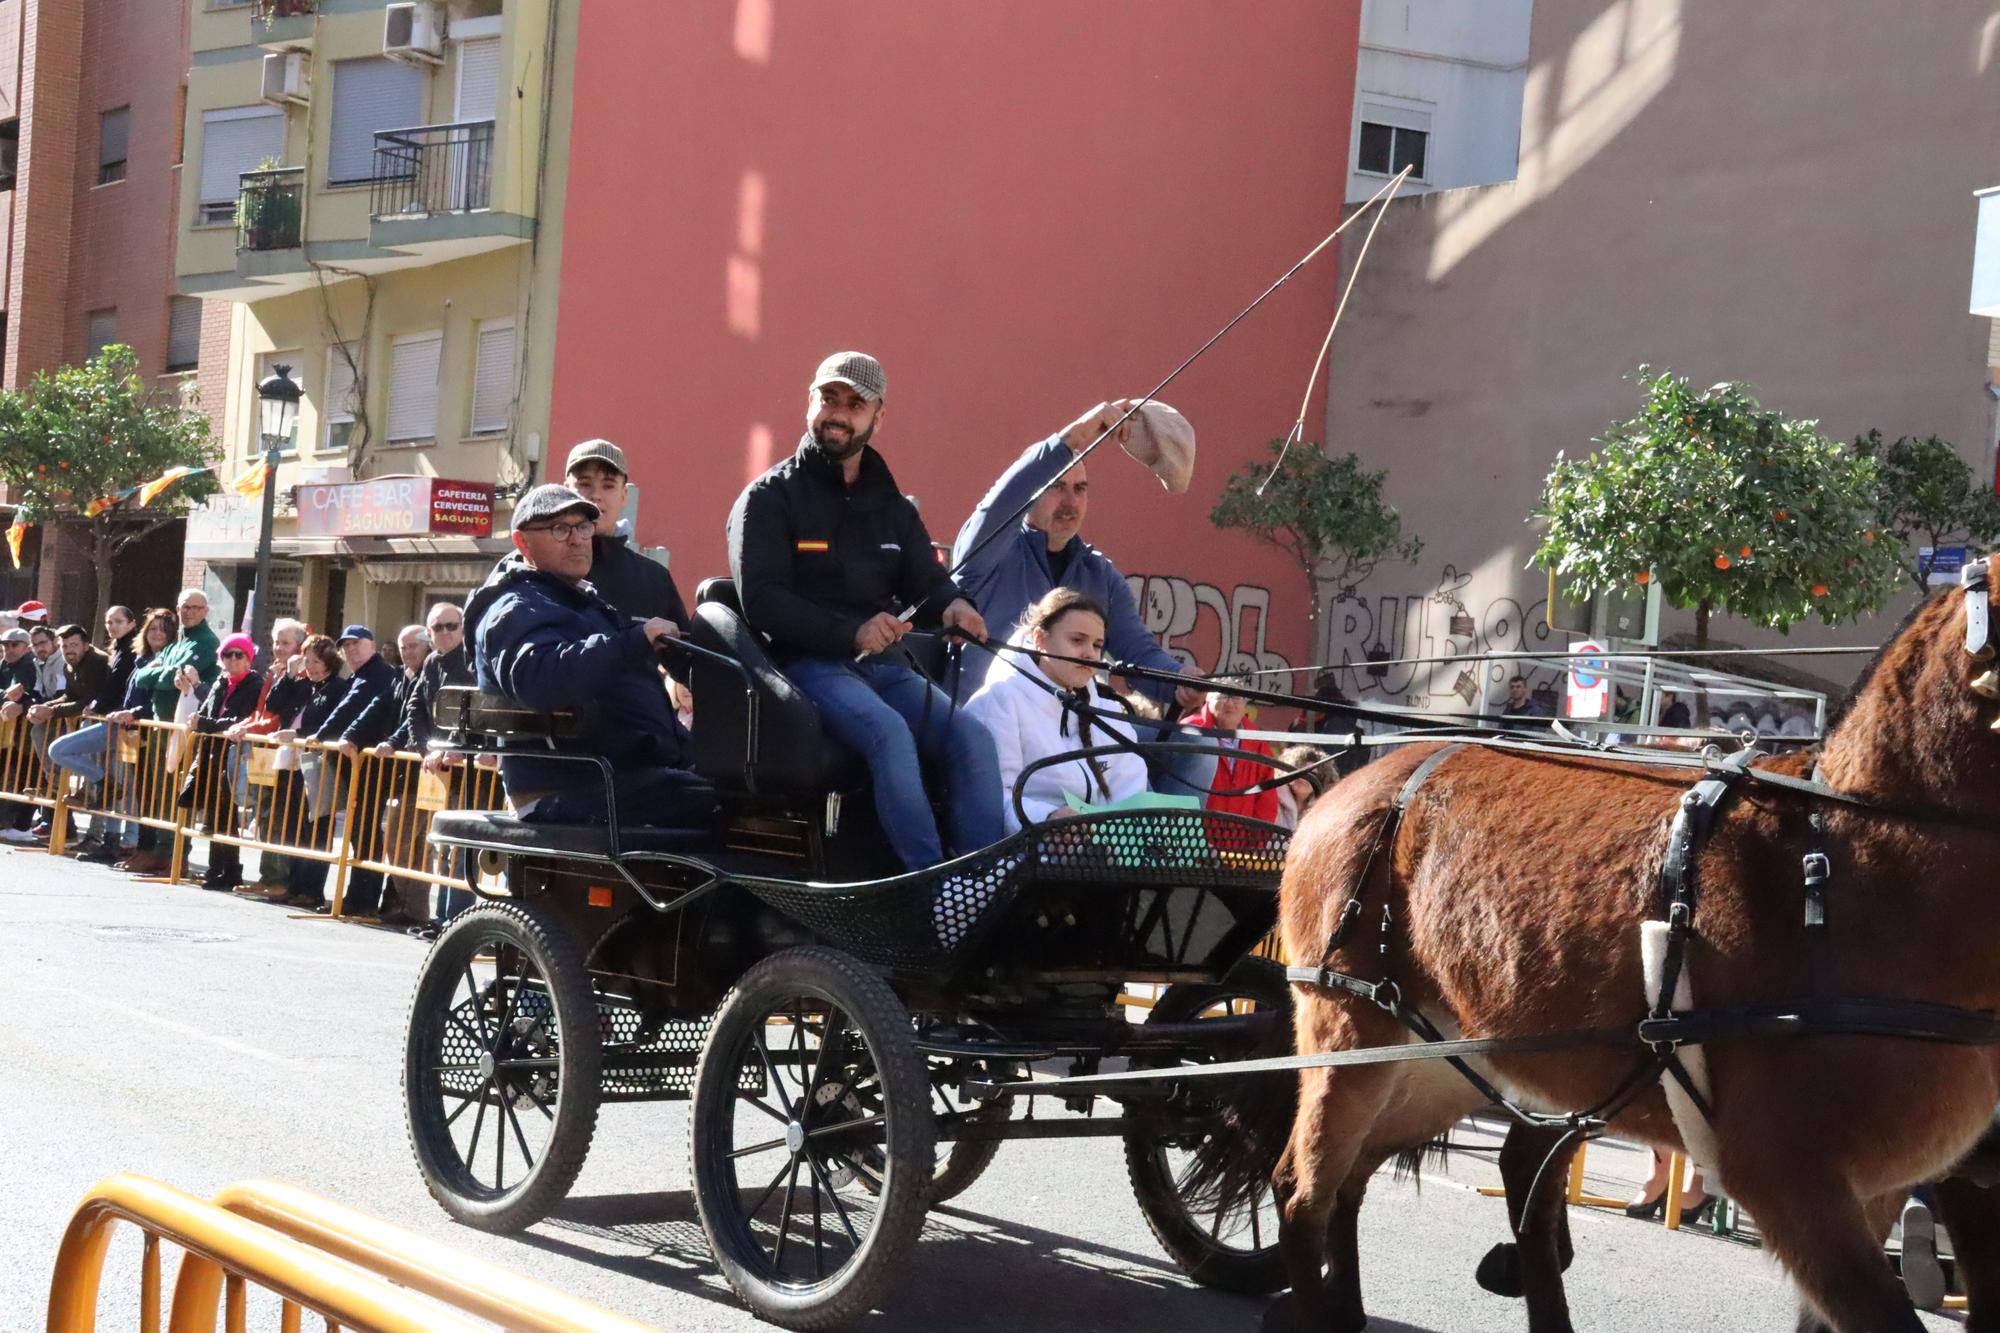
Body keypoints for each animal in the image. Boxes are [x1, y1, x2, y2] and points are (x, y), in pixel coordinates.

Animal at [1232, 572, 2000, 1328]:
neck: (1845, 859)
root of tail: (1357, 782)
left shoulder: (1893, 1185)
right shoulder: (1796, 1181)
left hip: (1444, 1062)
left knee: (1371, 1176)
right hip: (1350, 1031)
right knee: (1302, 1191)